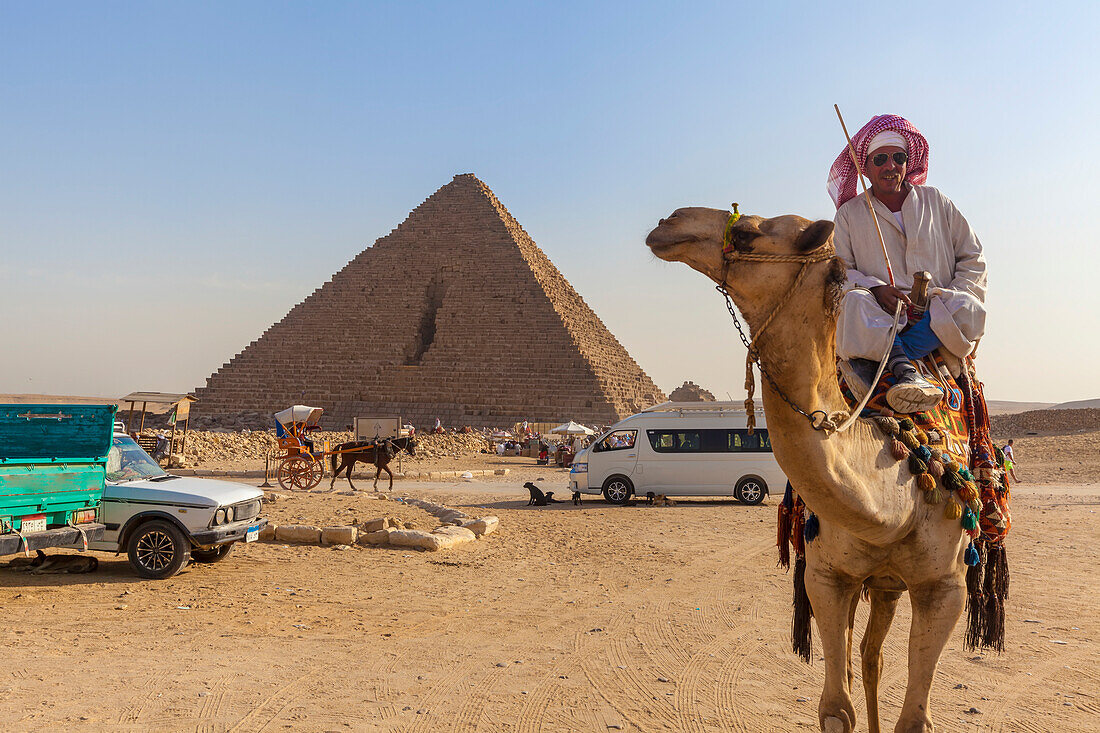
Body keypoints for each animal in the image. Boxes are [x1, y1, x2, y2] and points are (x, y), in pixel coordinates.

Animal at [646, 206, 968, 730]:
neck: (898, 499)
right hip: (878, 584)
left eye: (747, 232)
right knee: (870, 656)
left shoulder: (945, 588)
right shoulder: (827, 577)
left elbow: (915, 720)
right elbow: (836, 707)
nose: (669, 222)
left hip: (897, 584)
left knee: (873, 655)